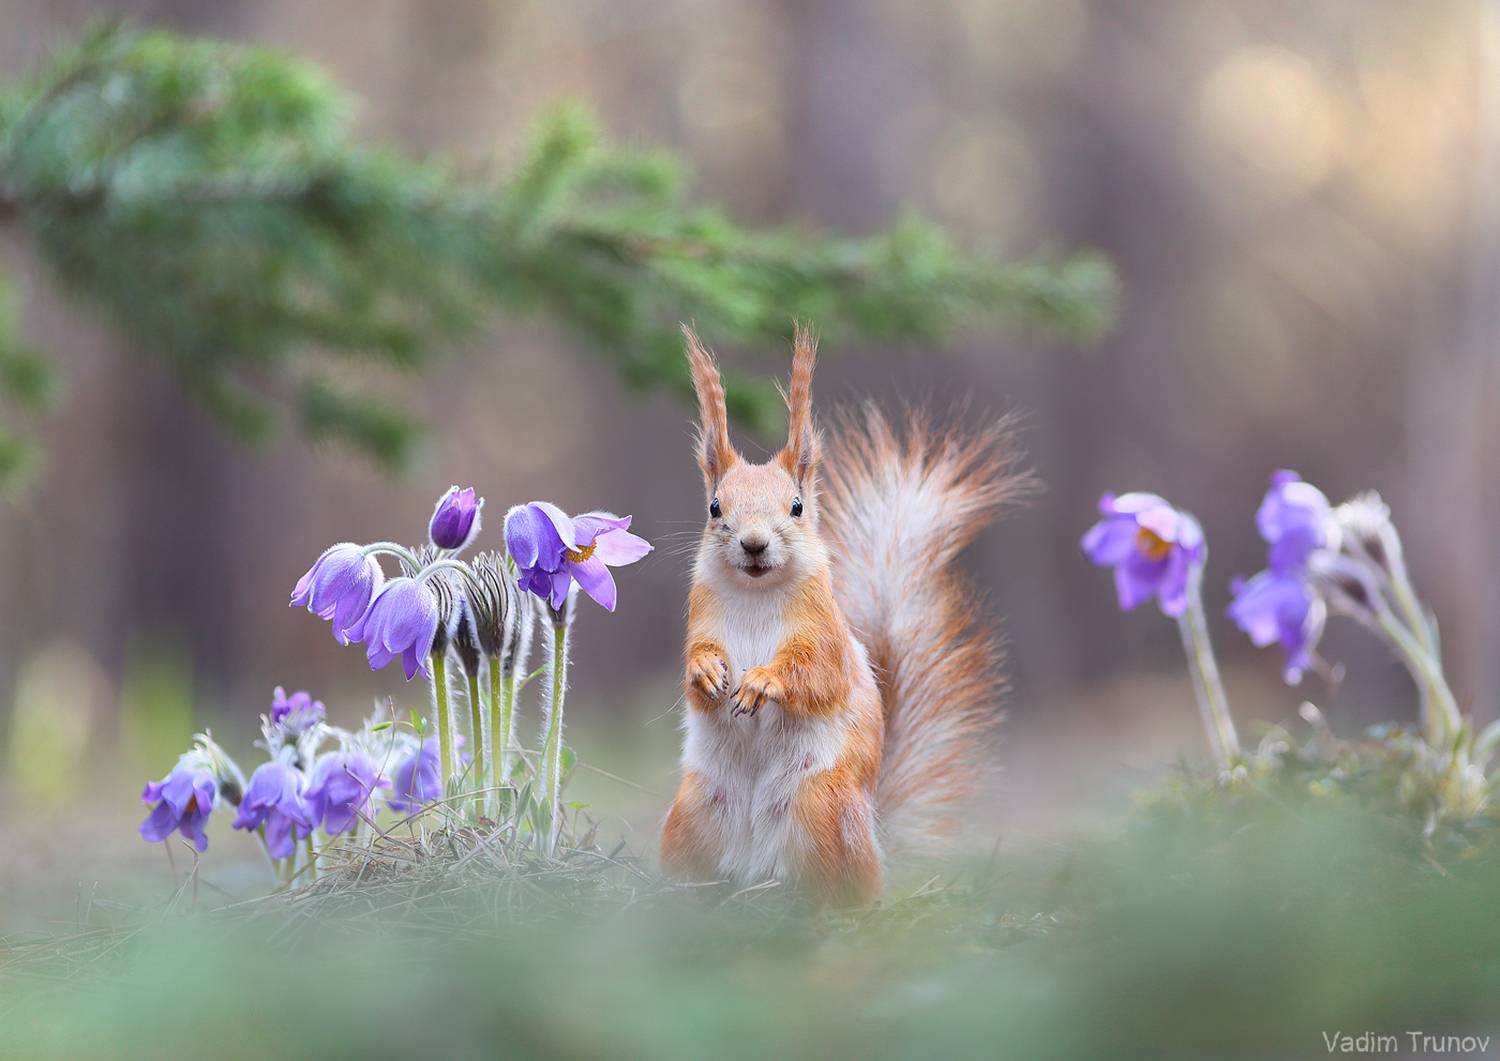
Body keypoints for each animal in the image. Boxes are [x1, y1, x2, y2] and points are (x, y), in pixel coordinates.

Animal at [660, 323, 1029, 905]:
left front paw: (761, 683)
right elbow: (693, 669)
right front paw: (706, 672)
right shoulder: (703, 618)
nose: (753, 544)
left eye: (797, 507)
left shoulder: (824, 633)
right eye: (714, 508)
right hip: (694, 811)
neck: (757, 595)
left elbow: (818, 675)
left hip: (821, 808)